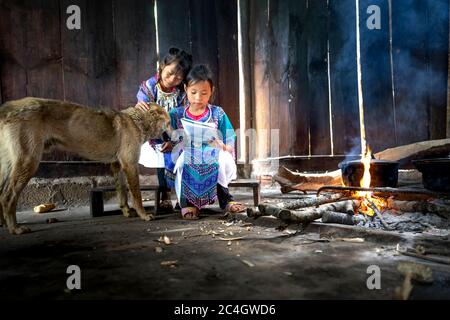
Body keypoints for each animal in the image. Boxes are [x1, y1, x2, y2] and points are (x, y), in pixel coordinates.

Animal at [0, 96, 172, 234]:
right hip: (28, 162)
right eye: (169, 122)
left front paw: (127, 212)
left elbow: (122, 192)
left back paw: (4, 225)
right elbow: (137, 195)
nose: (175, 135)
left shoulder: (118, 165)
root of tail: (8, 107)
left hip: (9, 166)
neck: (138, 121)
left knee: (1, 194)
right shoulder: (130, 164)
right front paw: (144, 215)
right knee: (8, 196)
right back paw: (15, 229)